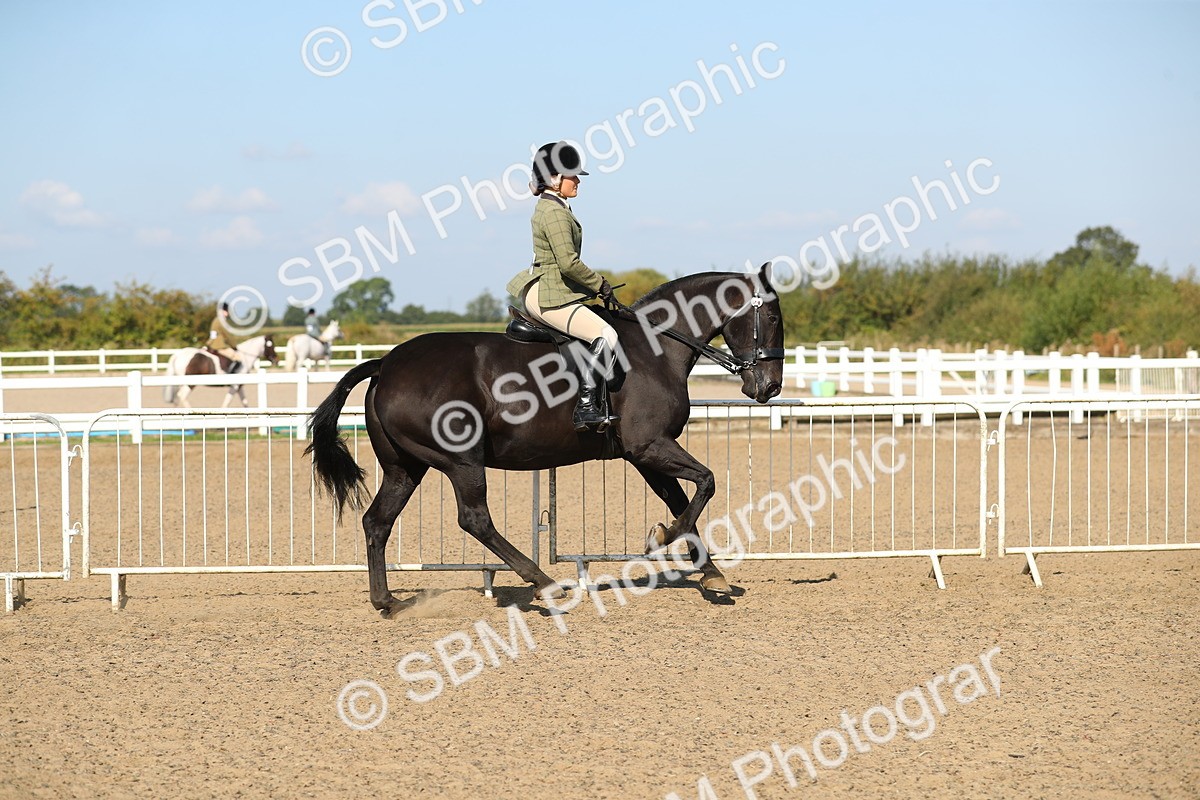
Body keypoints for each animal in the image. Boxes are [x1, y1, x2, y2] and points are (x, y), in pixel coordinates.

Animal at [307, 266, 784, 616]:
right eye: (773, 318)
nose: (770, 387)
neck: (656, 348)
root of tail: (385, 364)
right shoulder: (651, 446)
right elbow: (706, 483)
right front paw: (663, 539)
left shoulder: (644, 454)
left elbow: (681, 500)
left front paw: (707, 570)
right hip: (461, 461)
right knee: (475, 519)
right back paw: (545, 583)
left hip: (405, 467)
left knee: (378, 521)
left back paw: (387, 601)